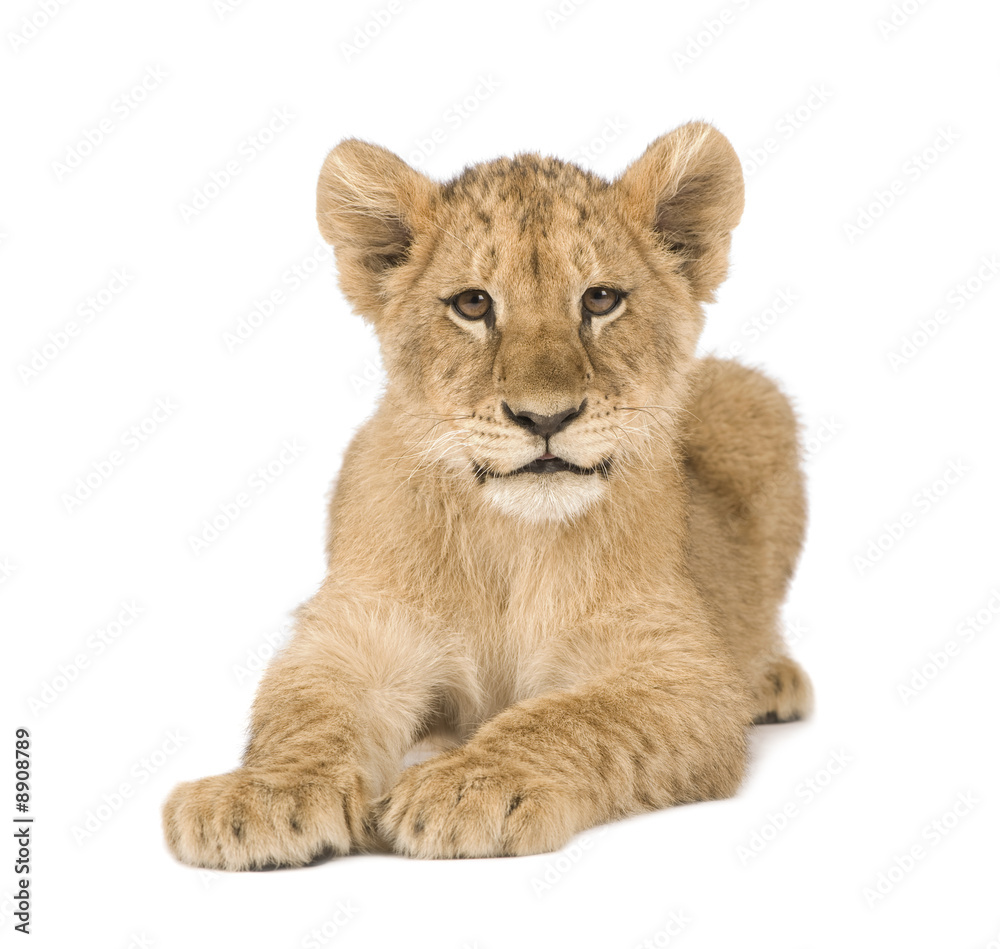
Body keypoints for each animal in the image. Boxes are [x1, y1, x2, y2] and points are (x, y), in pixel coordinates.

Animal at [162, 120, 813, 867]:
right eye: (473, 304)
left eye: (600, 299)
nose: (545, 417)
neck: (512, 537)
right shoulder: (359, 631)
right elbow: (305, 708)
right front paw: (256, 795)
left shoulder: (680, 670)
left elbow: (574, 716)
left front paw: (470, 785)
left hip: (754, 397)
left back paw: (772, 679)